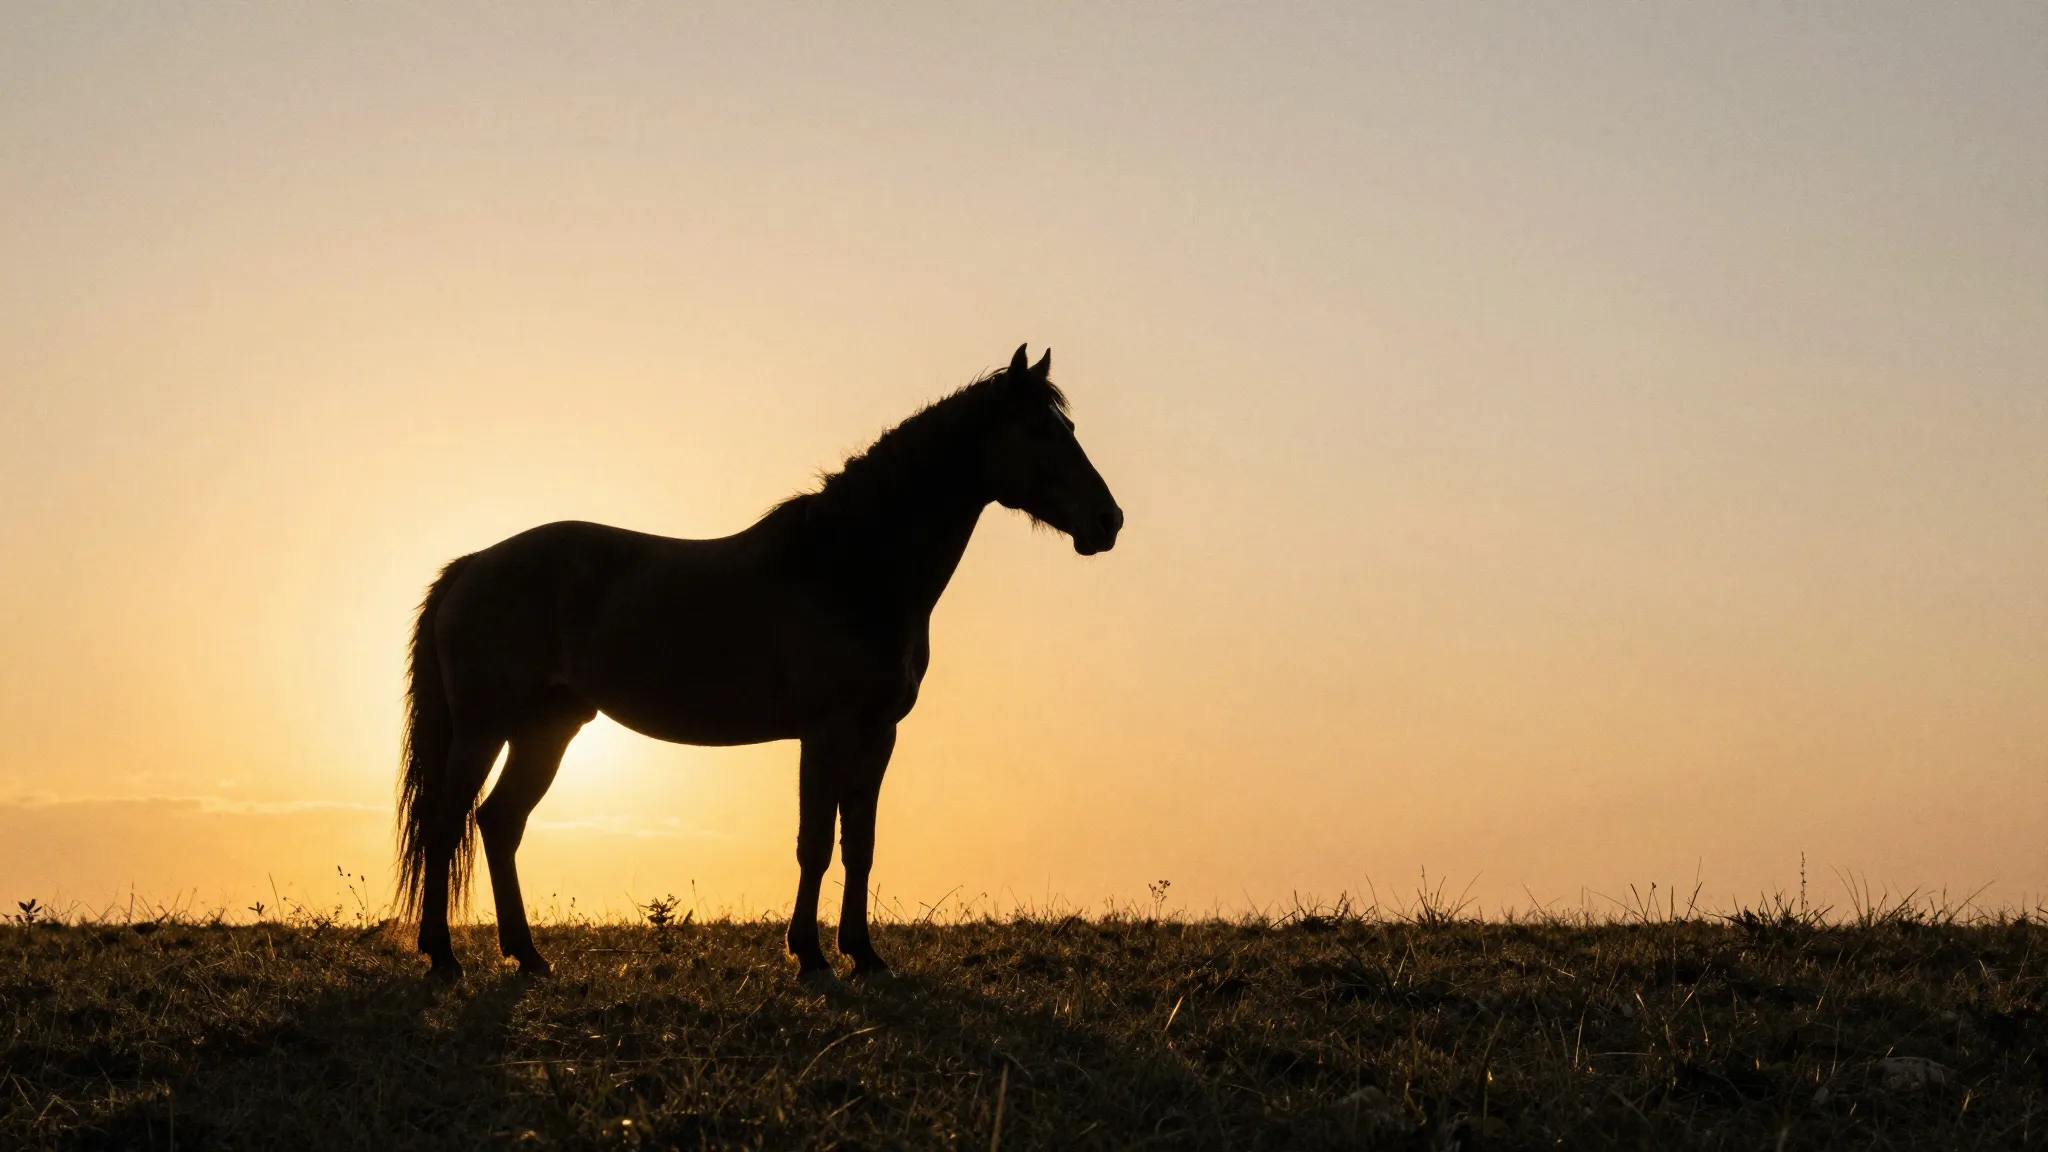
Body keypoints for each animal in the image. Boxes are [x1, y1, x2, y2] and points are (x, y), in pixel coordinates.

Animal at [396, 345, 1122, 979]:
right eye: (1040, 432)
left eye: (1068, 429)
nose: (1108, 520)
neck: (849, 568)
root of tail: (474, 564)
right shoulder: (826, 732)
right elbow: (815, 842)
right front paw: (810, 956)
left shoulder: (878, 735)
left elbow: (860, 844)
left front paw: (865, 955)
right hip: (484, 729)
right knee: (446, 825)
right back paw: (444, 958)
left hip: (548, 729)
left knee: (499, 823)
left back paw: (528, 957)